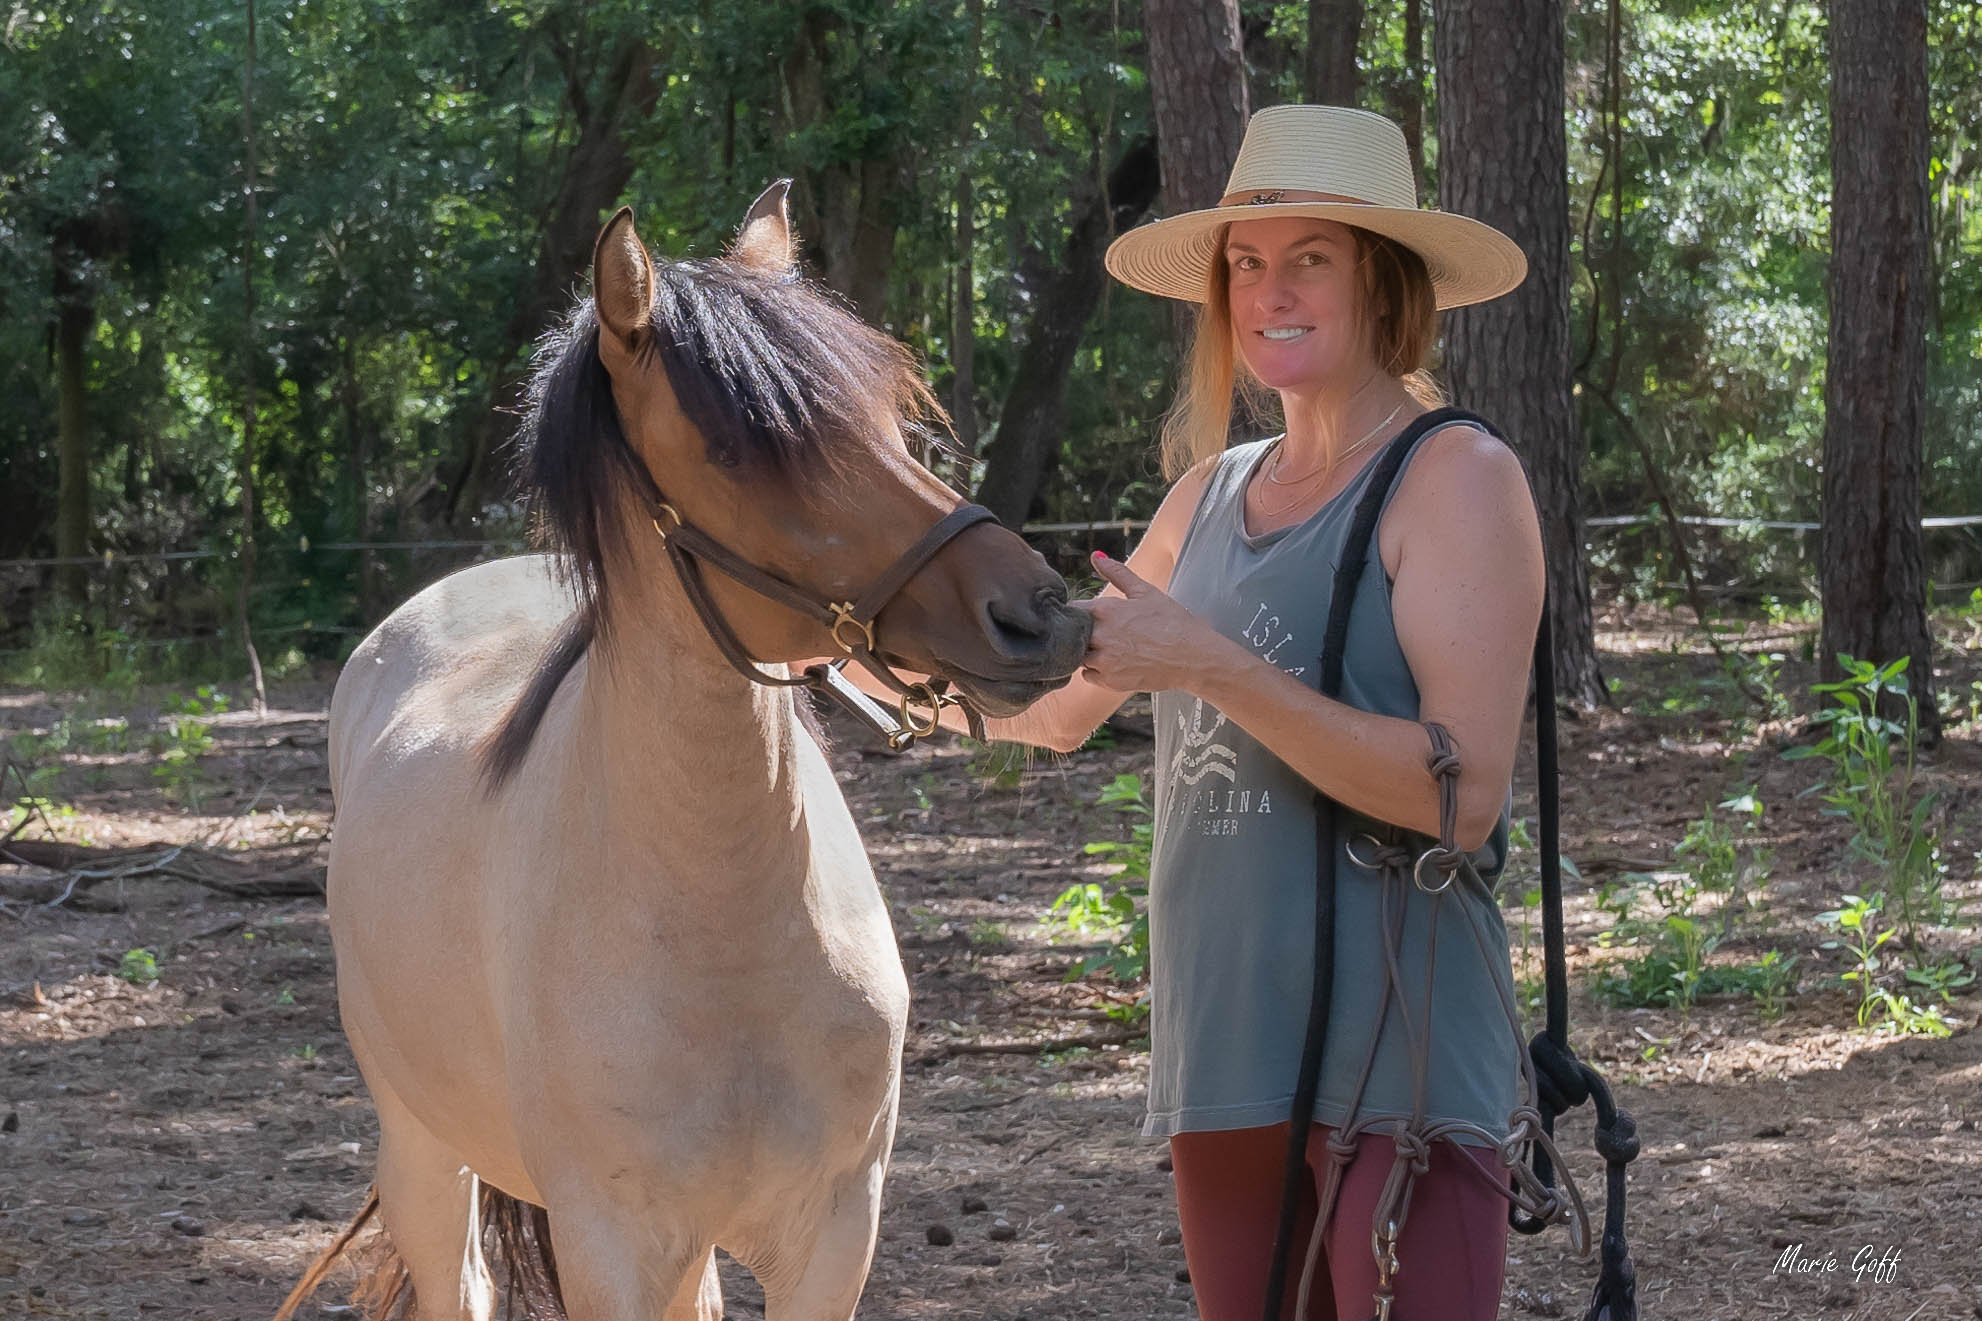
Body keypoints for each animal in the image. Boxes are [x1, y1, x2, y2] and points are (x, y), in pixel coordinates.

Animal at [275, 184, 1091, 1321]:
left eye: (887, 422)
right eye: (739, 451)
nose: (1039, 617)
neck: (722, 940)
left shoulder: (834, 1231)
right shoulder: (610, 1244)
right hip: (424, 1158)